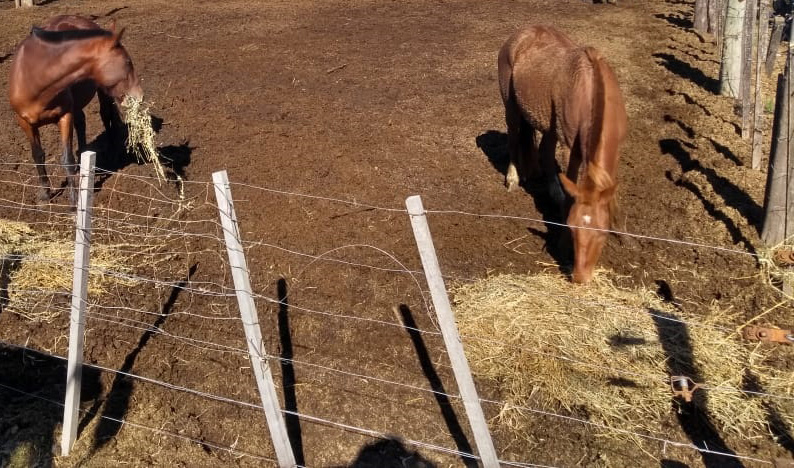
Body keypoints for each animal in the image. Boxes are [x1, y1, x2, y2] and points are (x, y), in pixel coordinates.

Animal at [8, 16, 142, 207]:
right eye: (128, 63)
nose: (139, 94)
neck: (34, 77)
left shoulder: (65, 116)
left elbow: (67, 159)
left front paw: (73, 201)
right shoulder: (25, 122)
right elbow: (38, 156)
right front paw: (45, 193)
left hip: (103, 92)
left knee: (106, 116)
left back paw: (111, 155)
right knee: (82, 122)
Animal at [496, 26, 624, 286]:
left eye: (601, 233)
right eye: (573, 228)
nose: (580, 277)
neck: (592, 90)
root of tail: (519, 36)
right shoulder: (572, 150)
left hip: (548, 124)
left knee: (544, 152)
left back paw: (552, 189)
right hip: (512, 109)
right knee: (514, 140)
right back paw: (513, 179)